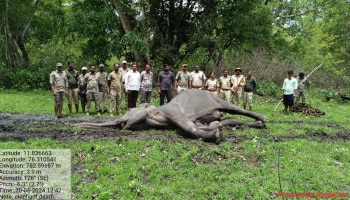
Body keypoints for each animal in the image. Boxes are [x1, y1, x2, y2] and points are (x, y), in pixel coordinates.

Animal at [75, 89, 266, 142]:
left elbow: (188, 126)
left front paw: (216, 134)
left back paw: (263, 119)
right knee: (229, 119)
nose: (122, 122)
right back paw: (258, 124)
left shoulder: (172, 110)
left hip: (216, 99)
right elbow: (194, 125)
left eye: (129, 110)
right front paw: (214, 129)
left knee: (235, 110)